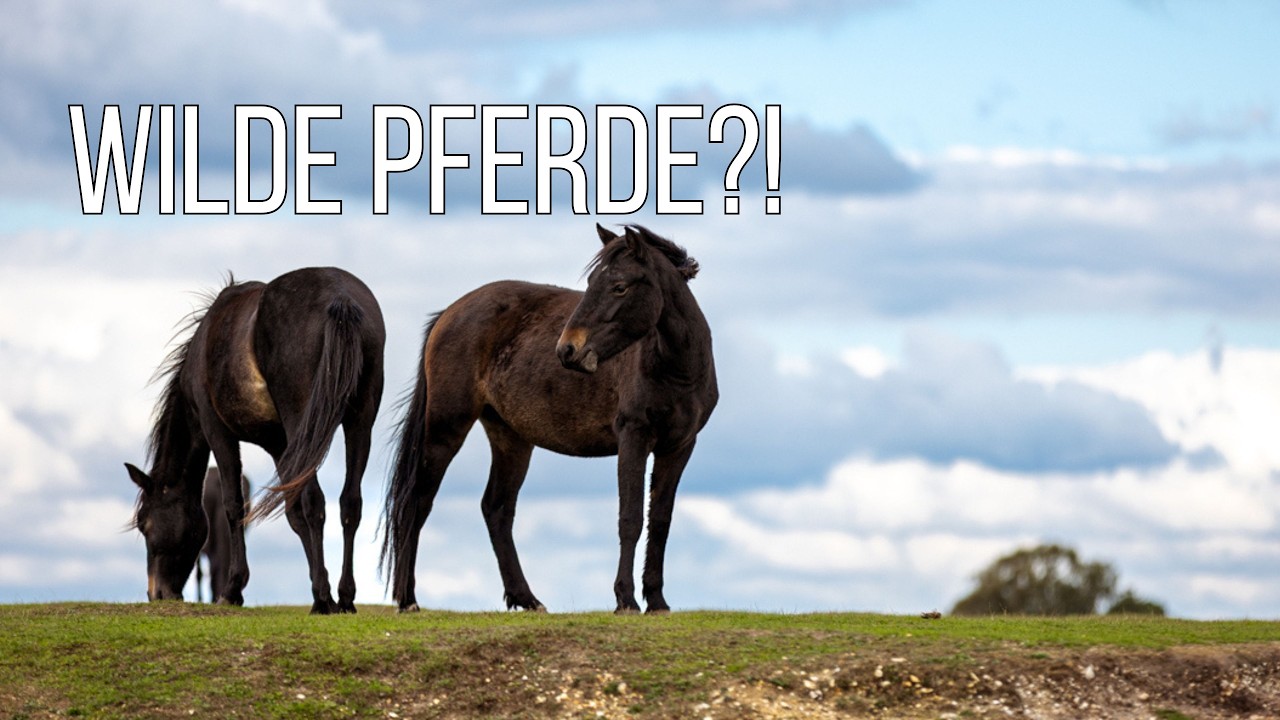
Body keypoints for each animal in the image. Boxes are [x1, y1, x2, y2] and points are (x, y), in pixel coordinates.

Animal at [382, 224, 718, 614]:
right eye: (592, 282)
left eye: (619, 286)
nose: (568, 350)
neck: (675, 370)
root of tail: (449, 313)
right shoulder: (633, 438)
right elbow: (630, 518)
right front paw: (626, 599)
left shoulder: (678, 447)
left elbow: (660, 521)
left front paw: (657, 600)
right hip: (445, 428)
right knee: (418, 502)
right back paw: (408, 598)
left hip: (511, 438)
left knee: (497, 509)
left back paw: (526, 598)